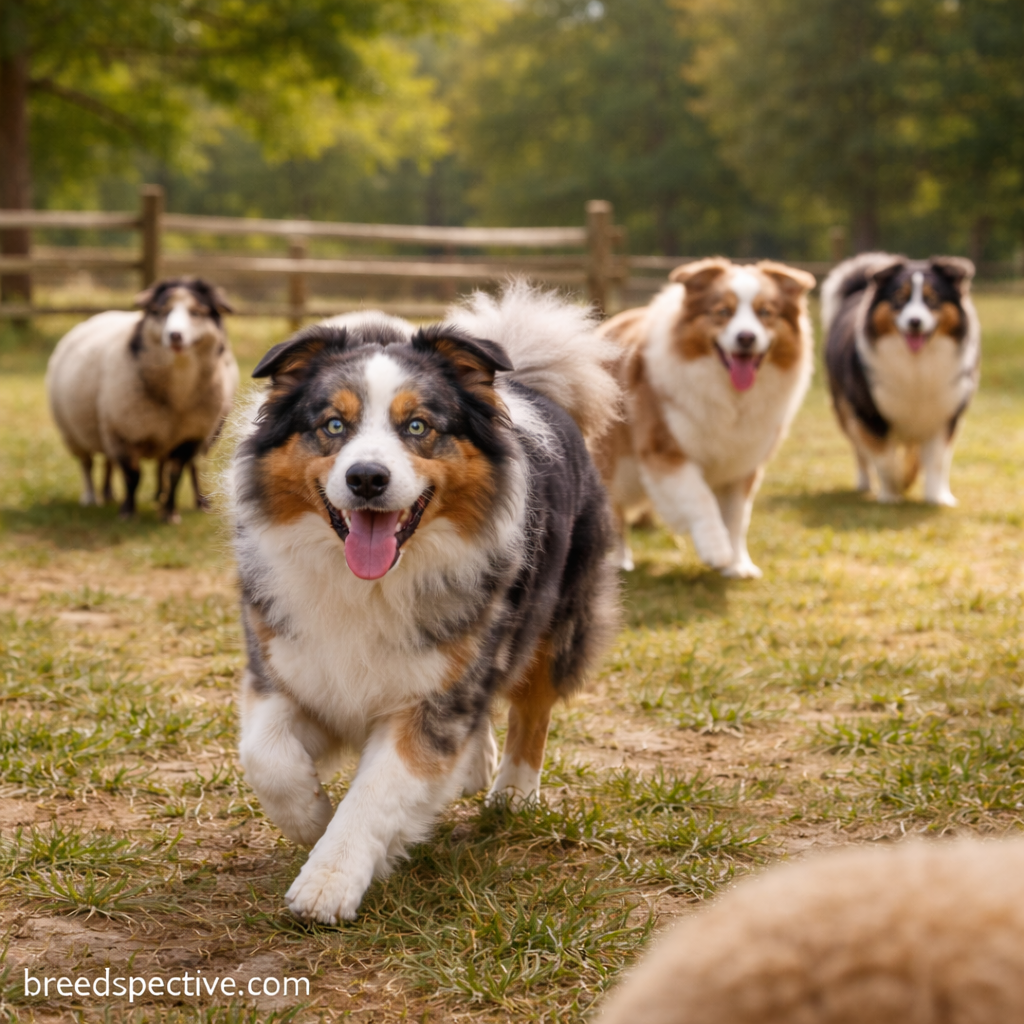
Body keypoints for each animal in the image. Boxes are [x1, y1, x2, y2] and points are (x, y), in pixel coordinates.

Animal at [46, 277, 238, 522]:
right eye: (160, 311)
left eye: (197, 312)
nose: (175, 335)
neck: (177, 395)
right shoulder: (123, 432)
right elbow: (132, 475)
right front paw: (128, 512)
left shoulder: (192, 436)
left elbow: (175, 474)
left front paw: (169, 512)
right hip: (74, 433)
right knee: (87, 464)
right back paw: (91, 498)